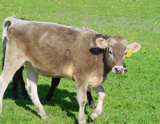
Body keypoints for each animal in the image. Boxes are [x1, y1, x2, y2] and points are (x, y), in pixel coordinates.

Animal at [0, 16, 141, 124]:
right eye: (110, 51)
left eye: (125, 53)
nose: (119, 69)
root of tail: (16, 21)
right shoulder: (81, 77)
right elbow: (82, 99)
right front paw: (82, 119)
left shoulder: (94, 79)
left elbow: (102, 94)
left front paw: (93, 116)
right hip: (13, 60)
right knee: (3, 82)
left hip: (31, 65)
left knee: (31, 87)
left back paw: (42, 114)